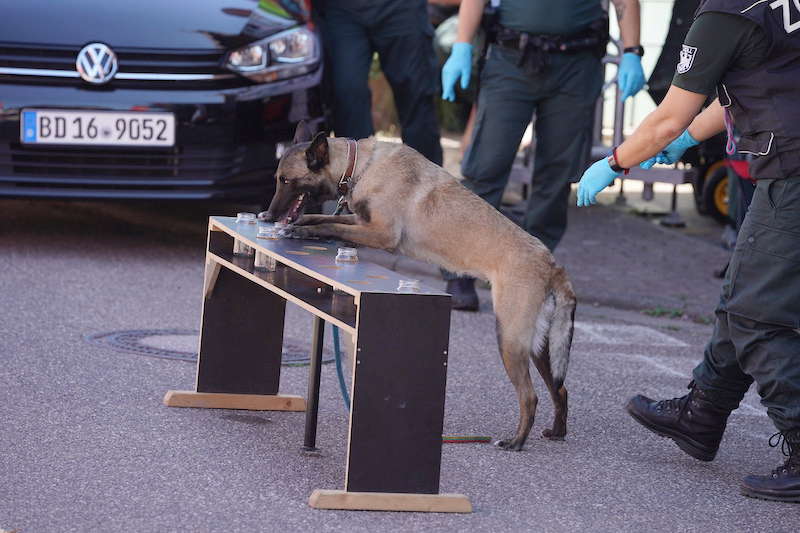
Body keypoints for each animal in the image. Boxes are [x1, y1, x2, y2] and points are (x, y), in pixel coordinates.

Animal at [260, 121, 580, 448]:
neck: (360, 166)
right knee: (560, 389)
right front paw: (300, 225)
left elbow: (330, 225)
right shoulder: (362, 223)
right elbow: (322, 218)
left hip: (510, 340)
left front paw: (298, 230)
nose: (269, 215)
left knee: (530, 397)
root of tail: (551, 263)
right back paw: (557, 431)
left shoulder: (380, 233)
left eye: (286, 180)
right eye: (277, 179)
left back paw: (516, 442)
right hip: (537, 347)